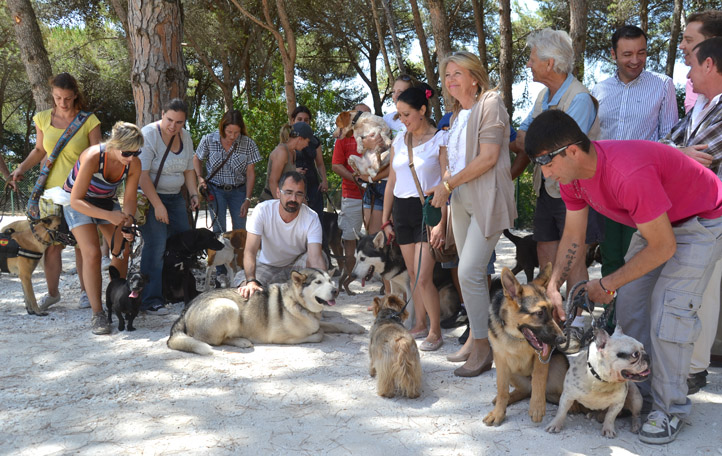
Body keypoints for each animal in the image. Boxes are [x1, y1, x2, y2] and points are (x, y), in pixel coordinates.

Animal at [166, 268, 362, 354]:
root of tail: (186, 308)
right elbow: (319, 333)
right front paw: (320, 332)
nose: (335, 291)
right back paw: (241, 341)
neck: (298, 303)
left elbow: (334, 324)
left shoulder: (318, 320)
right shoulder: (286, 338)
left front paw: (356, 328)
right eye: (318, 282)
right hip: (229, 307)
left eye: (330, 280)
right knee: (215, 341)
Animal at [484, 264, 568, 428]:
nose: (562, 339)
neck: (516, 336)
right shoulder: (501, 361)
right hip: (511, 372)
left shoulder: (542, 357)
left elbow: (538, 378)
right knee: (523, 391)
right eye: (540, 313)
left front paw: (537, 406)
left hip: (560, 364)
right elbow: (502, 389)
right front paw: (498, 413)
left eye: (552, 310)